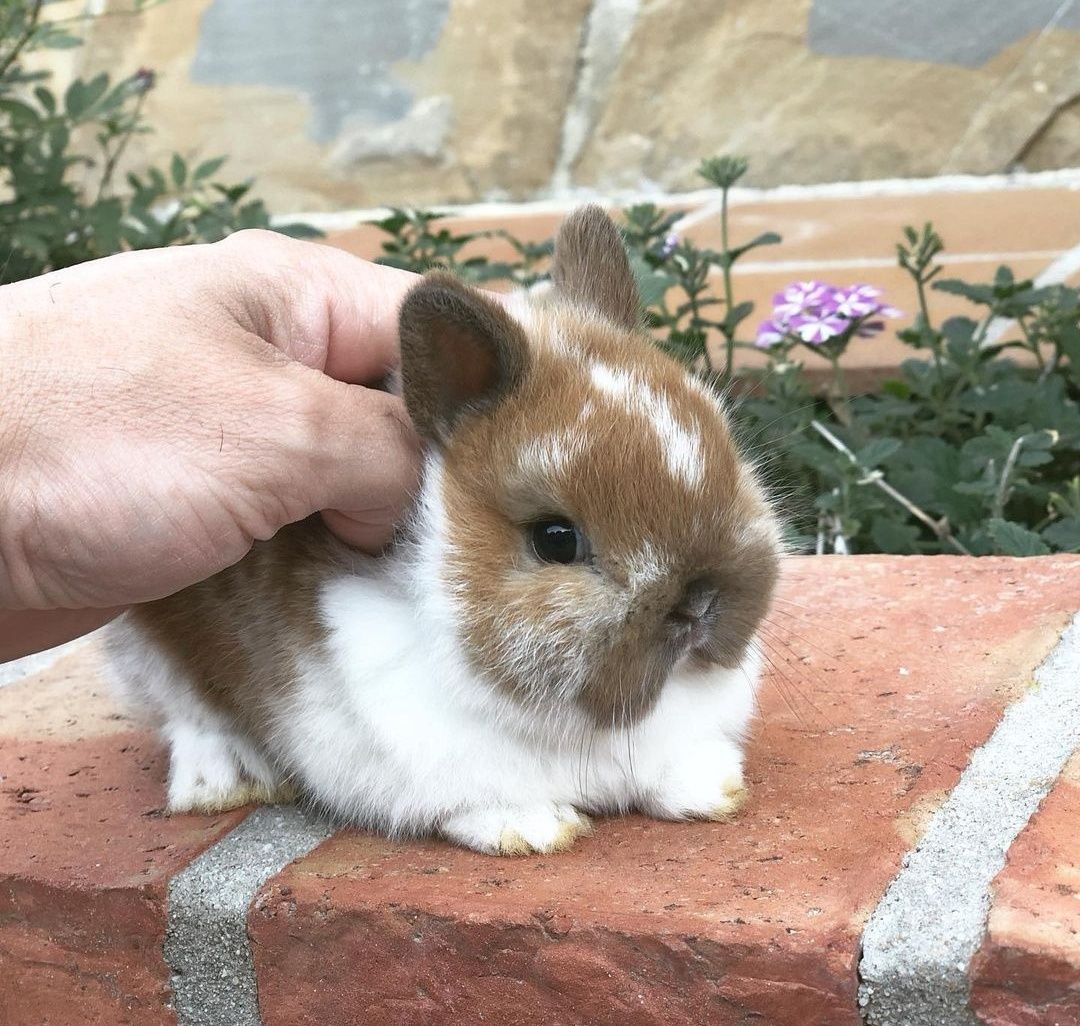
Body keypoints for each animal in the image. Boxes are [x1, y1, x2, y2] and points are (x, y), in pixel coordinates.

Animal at [105, 205, 781, 855]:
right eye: (555, 539)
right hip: (150, 647)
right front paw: (532, 829)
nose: (698, 605)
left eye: (728, 460)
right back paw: (225, 780)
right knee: (189, 716)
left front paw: (710, 789)